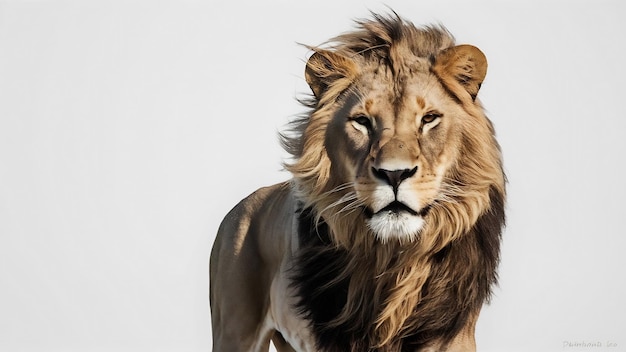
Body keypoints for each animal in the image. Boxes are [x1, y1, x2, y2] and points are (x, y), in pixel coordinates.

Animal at [210, 12, 502, 352]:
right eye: (362, 121)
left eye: (429, 119)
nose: (395, 174)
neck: (393, 260)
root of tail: (241, 207)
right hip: (234, 329)